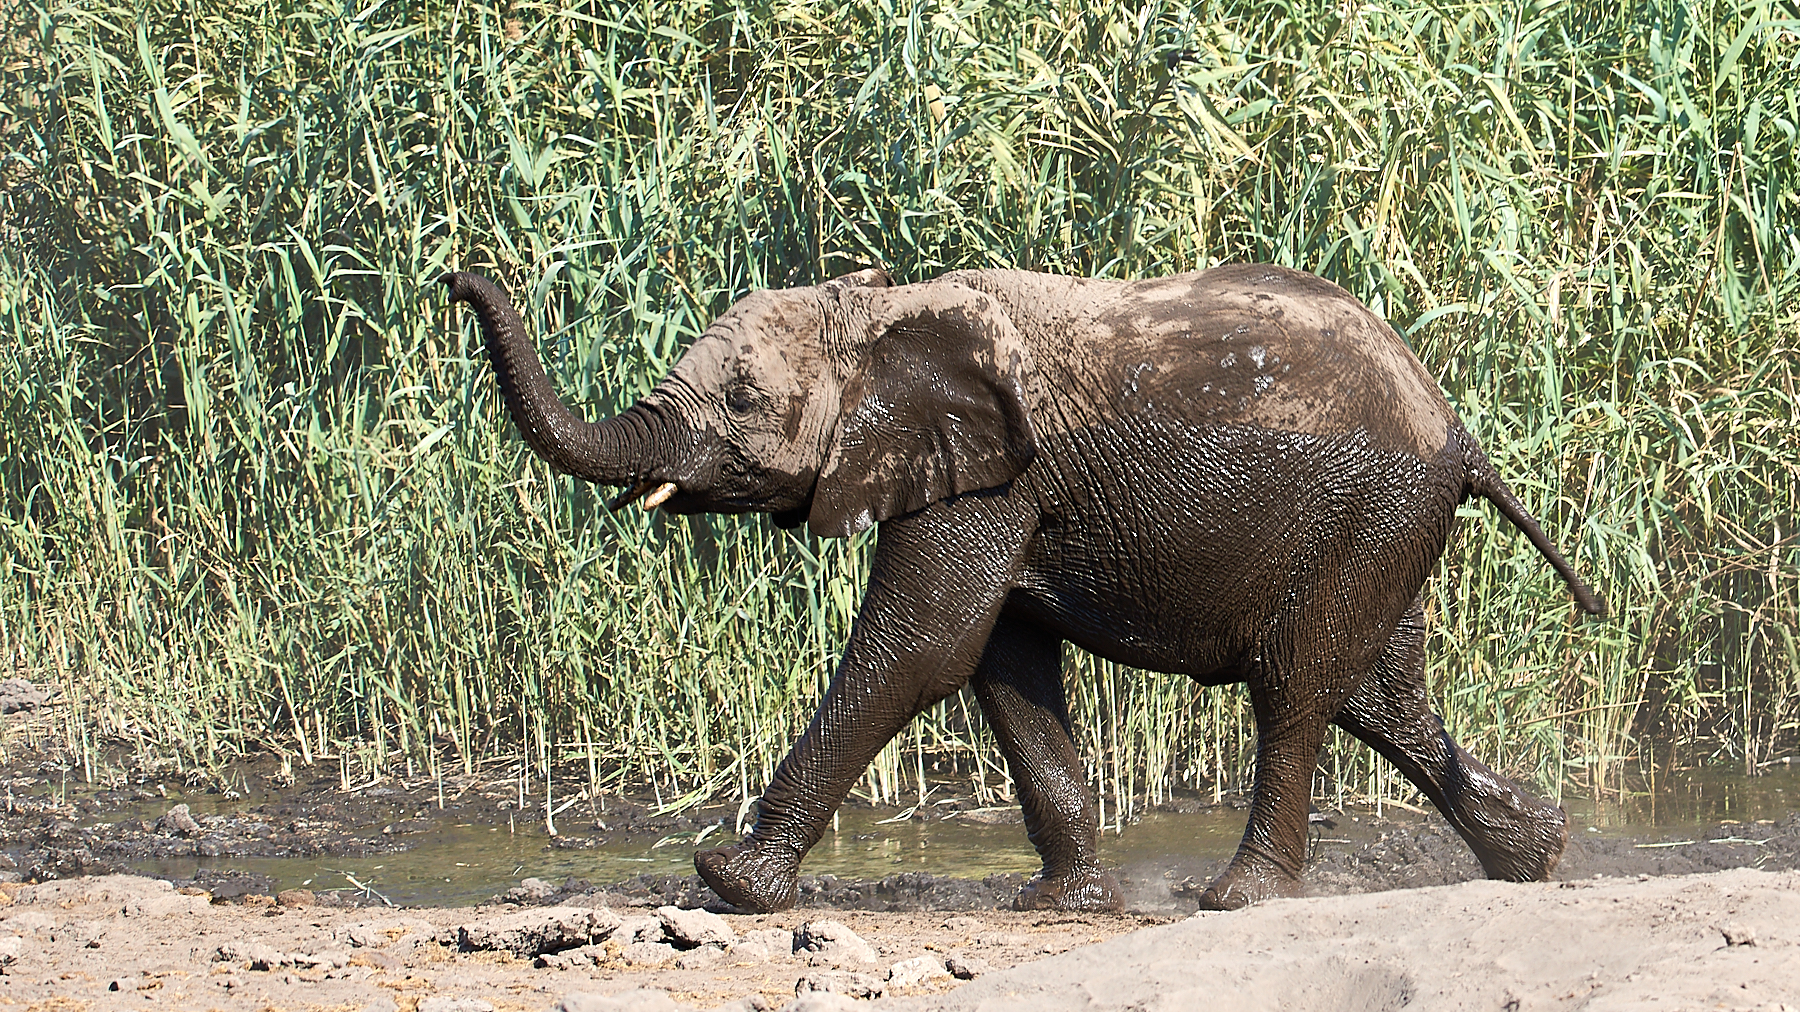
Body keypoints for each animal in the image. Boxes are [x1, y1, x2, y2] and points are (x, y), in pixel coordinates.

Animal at [439, 263, 1604, 914]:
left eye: (743, 400)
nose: (452, 282)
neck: (882, 312)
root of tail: (1456, 427)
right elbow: (1000, 664)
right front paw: (1061, 901)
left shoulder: (991, 475)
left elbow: (922, 646)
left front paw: (731, 883)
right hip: (1383, 529)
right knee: (1379, 693)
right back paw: (1537, 856)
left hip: (1371, 509)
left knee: (1297, 686)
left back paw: (1239, 899)